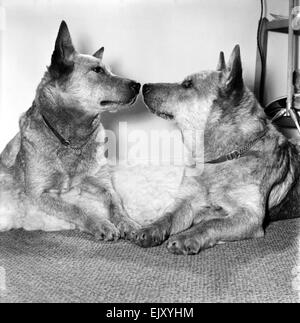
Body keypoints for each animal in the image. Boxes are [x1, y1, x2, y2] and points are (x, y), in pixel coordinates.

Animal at [0, 19, 141, 238]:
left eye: (109, 70)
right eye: (98, 70)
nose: (138, 85)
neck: (72, 140)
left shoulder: (103, 183)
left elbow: (116, 201)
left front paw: (127, 222)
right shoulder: (37, 193)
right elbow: (75, 208)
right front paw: (100, 223)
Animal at [131, 45, 300, 256]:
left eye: (187, 84)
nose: (143, 86)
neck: (223, 157)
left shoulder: (250, 216)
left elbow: (211, 224)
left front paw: (186, 237)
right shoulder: (186, 202)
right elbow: (167, 216)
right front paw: (150, 228)